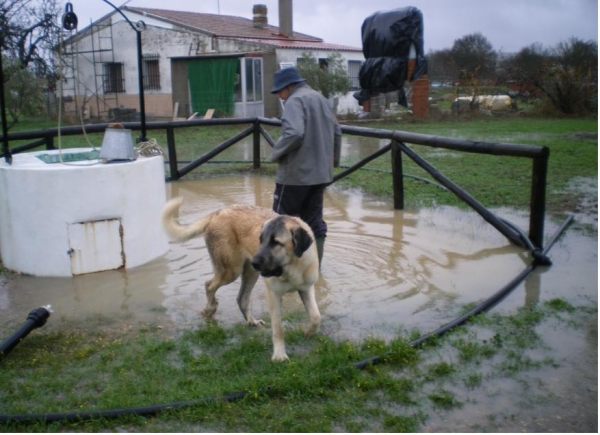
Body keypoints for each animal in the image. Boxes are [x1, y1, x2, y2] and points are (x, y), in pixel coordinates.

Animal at [159, 198, 318, 362]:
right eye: (260, 240)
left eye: (276, 243)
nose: (255, 262)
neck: (292, 268)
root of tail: (217, 213)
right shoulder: (273, 296)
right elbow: (278, 328)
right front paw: (279, 355)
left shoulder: (306, 289)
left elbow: (315, 316)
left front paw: (308, 333)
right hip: (231, 271)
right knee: (209, 285)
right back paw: (210, 309)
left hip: (250, 273)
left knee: (241, 298)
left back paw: (251, 321)